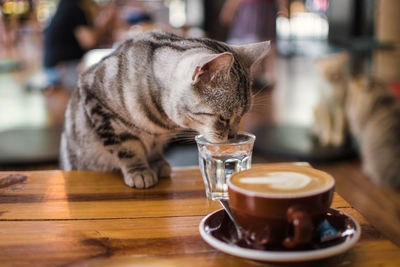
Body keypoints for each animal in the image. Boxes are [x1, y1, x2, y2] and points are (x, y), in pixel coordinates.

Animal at [61, 30, 270, 188]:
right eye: (224, 118)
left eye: (242, 116)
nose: (232, 136)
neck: (161, 121)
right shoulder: (99, 106)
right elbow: (128, 148)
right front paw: (139, 171)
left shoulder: (157, 138)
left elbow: (154, 149)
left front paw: (157, 163)